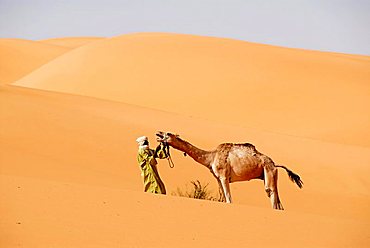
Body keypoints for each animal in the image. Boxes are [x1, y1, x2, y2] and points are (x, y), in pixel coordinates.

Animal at [156, 131, 304, 210]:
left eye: (168, 134)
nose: (158, 133)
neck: (210, 157)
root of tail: (275, 164)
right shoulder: (218, 178)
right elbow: (223, 196)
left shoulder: (223, 176)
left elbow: (228, 198)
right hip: (270, 173)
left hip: (269, 171)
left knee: (270, 191)